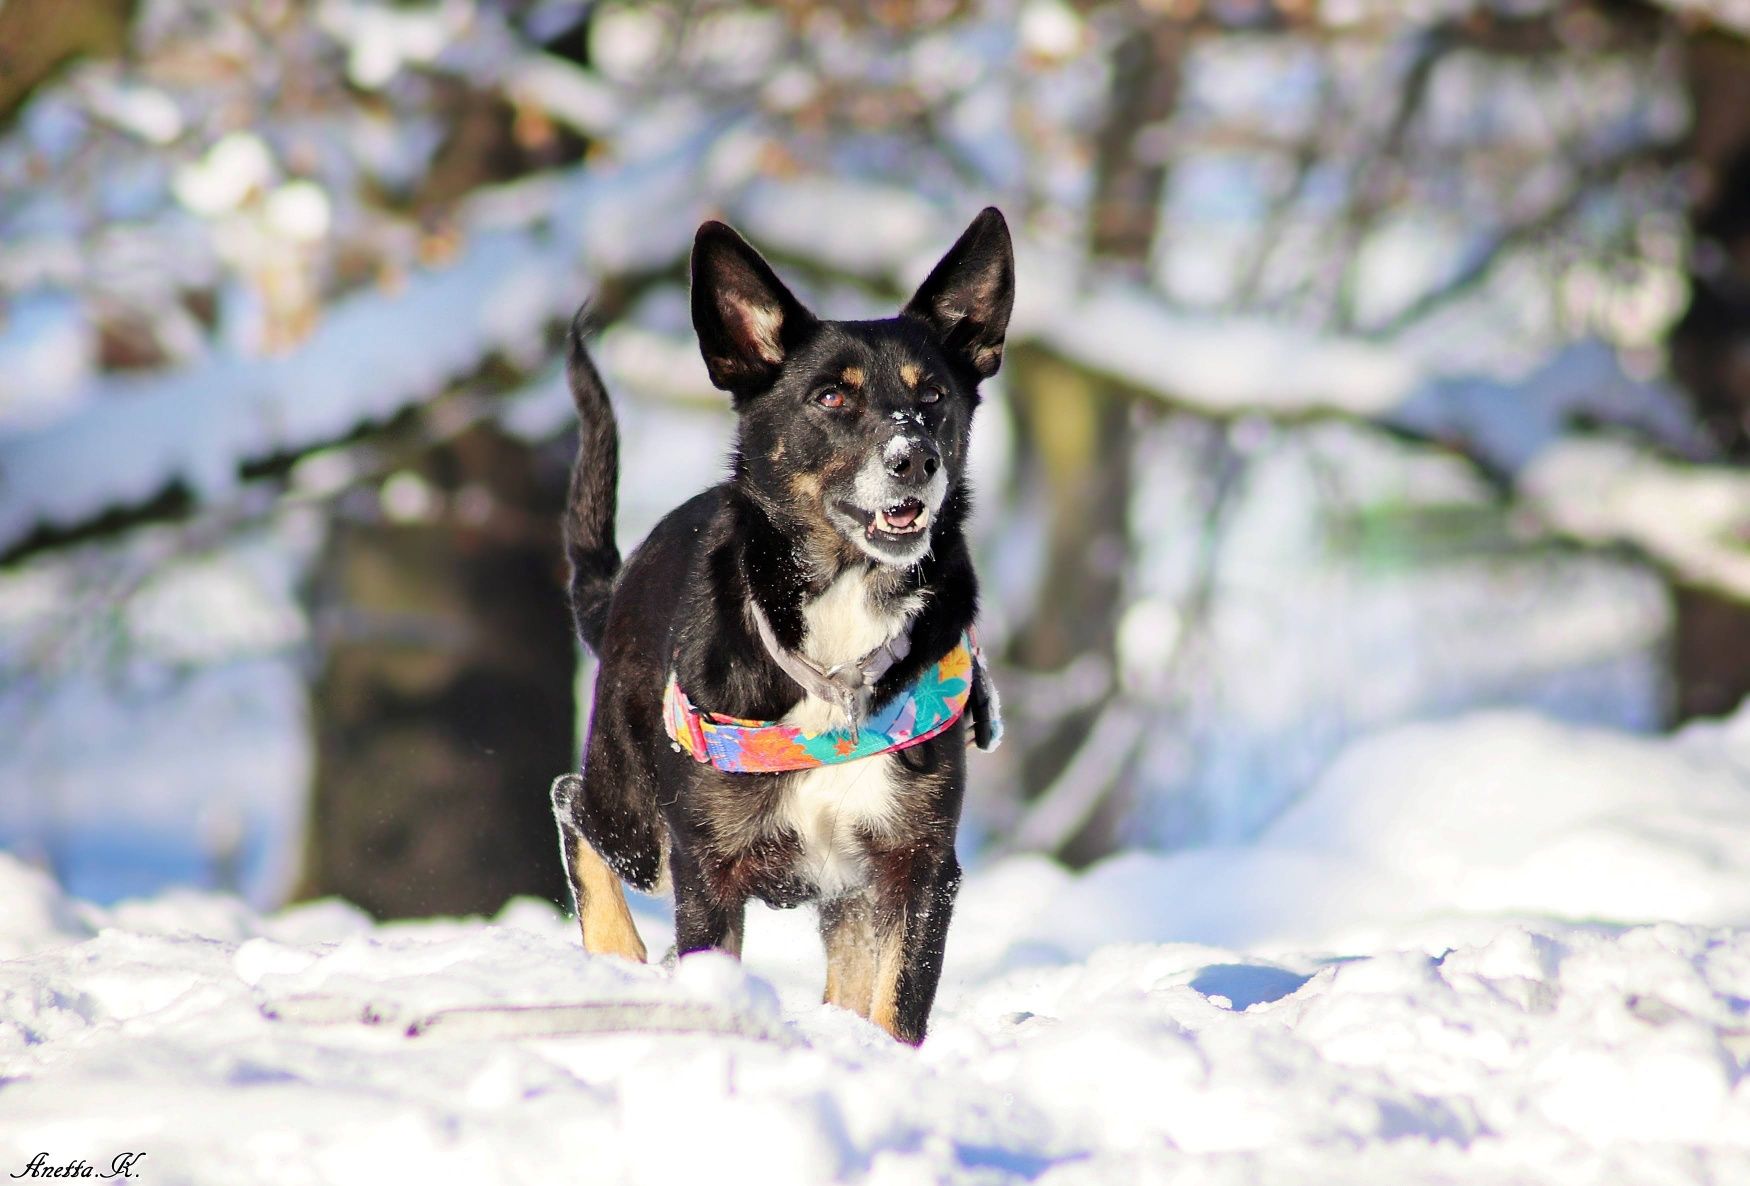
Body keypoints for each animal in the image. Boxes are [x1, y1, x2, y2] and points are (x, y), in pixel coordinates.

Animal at [546, 209, 1015, 1042]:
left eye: (934, 396)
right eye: (830, 398)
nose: (916, 459)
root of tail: (622, 583)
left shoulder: (919, 863)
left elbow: (897, 1004)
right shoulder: (705, 867)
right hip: (635, 819)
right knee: (573, 802)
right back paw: (617, 957)